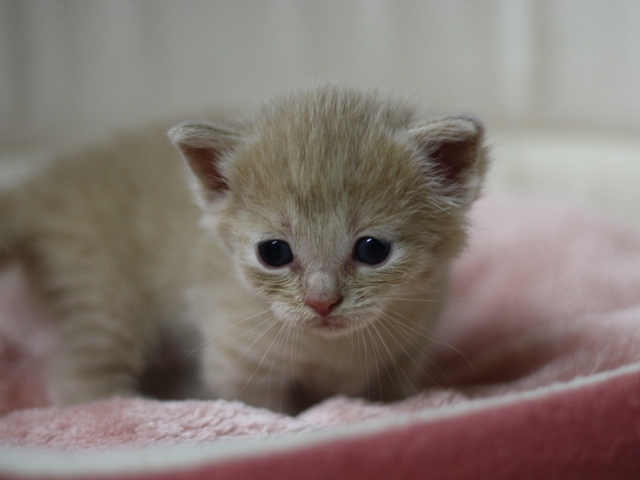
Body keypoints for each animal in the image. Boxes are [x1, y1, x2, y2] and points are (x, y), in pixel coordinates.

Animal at [0, 84, 488, 414]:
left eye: (372, 250)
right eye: (274, 253)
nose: (321, 302)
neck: (331, 351)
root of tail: (45, 185)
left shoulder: (403, 357)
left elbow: (388, 397)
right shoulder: (237, 367)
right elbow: (270, 414)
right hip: (106, 300)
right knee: (77, 380)